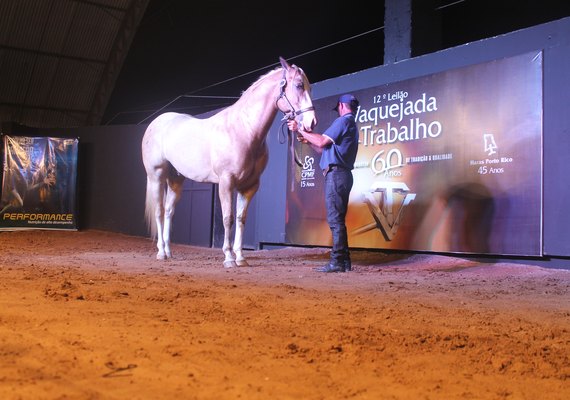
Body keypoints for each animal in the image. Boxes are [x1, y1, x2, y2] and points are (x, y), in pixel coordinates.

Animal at [141, 56, 316, 268]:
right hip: (156, 176)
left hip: (176, 179)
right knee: (159, 211)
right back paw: (160, 252)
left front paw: (240, 257)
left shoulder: (249, 186)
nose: (311, 123)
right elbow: (228, 219)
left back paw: (168, 251)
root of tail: (156, 122)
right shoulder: (226, 183)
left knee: (168, 211)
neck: (244, 129)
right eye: (298, 85)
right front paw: (229, 257)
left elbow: (241, 218)